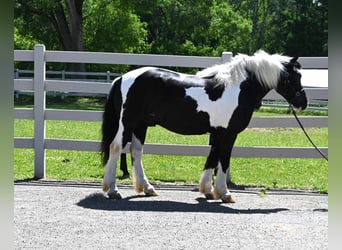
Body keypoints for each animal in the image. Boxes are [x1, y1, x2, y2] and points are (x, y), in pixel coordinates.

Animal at [101, 50, 308, 203]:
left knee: (136, 151)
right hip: (127, 123)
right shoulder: (229, 134)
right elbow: (223, 160)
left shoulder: (218, 133)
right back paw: (113, 190)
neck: (239, 88)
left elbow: (212, 158)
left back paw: (147, 188)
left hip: (141, 125)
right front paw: (224, 193)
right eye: (294, 77)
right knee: (116, 147)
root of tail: (121, 79)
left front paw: (208, 190)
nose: (303, 103)